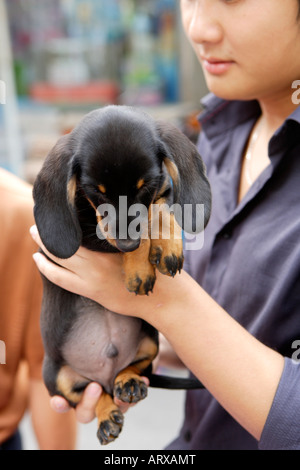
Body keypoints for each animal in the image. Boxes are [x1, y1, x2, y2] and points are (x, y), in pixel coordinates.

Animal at [32, 104, 211, 446]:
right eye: (95, 193)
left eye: (144, 186)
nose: (128, 245)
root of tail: (104, 374)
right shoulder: (90, 235)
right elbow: (140, 222)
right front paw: (140, 266)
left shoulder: (158, 193)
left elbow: (158, 208)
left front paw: (166, 247)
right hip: (55, 376)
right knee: (92, 392)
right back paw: (107, 415)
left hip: (150, 340)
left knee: (131, 370)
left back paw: (128, 381)